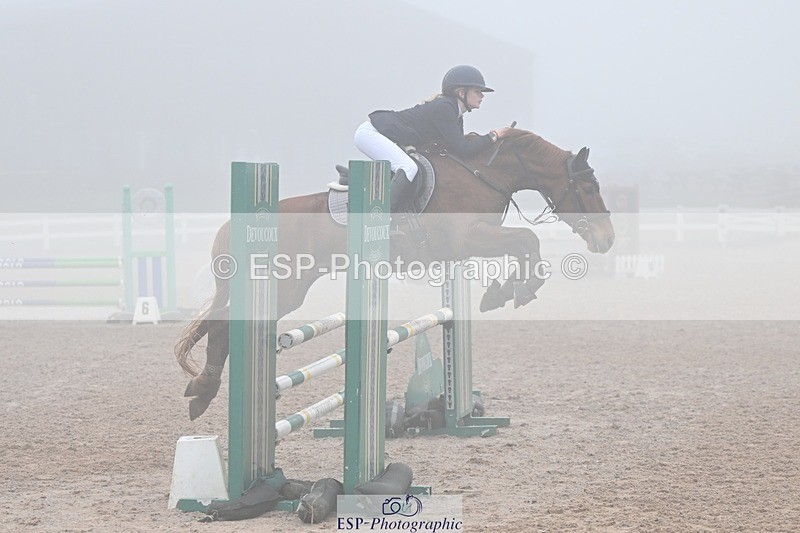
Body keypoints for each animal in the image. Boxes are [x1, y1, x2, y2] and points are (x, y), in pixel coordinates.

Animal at [175, 128, 615, 420]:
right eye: (589, 188)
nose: (608, 239)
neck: (481, 174)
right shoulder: (468, 239)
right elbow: (528, 240)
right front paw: (511, 292)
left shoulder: (470, 246)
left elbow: (526, 247)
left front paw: (504, 291)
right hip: (281, 287)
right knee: (223, 324)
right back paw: (203, 390)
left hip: (290, 287)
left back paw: (208, 392)